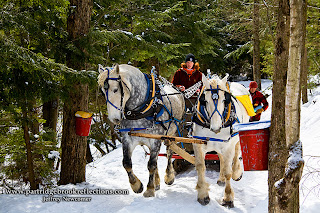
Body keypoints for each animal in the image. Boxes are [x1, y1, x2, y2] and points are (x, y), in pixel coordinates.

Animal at [98, 64, 185, 197]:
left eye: (115, 90)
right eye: (103, 92)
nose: (114, 119)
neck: (141, 111)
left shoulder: (156, 140)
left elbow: (151, 165)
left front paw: (149, 189)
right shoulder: (128, 139)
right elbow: (127, 163)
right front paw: (137, 185)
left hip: (172, 133)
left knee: (169, 153)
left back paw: (169, 176)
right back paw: (157, 182)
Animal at [191, 74, 251, 207]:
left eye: (225, 100)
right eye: (205, 100)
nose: (216, 128)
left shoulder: (228, 146)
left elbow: (229, 171)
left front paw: (228, 198)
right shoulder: (198, 144)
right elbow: (200, 167)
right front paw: (203, 195)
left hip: (236, 137)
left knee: (236, 153)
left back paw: (236, 172)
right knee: (222, 158)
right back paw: (222, 178)